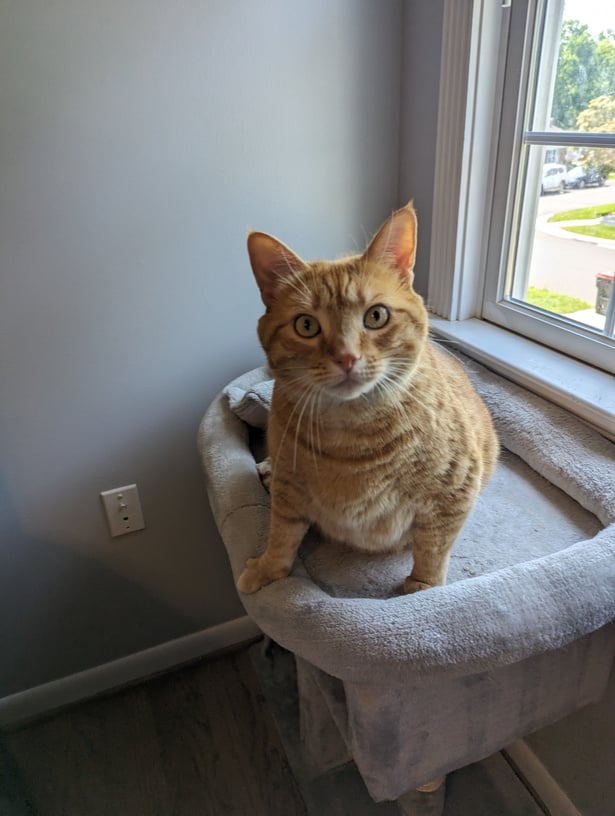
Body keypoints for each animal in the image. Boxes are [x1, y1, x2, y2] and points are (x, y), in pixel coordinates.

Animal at [237, 204, 500, 596]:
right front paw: (269, 569)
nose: (347, 357)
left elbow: (433, 548)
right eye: (306, 326)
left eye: (376, 316)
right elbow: (281, 534)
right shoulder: (289, 490)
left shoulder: (453, 493)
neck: (351, 441)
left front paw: (422, 591)